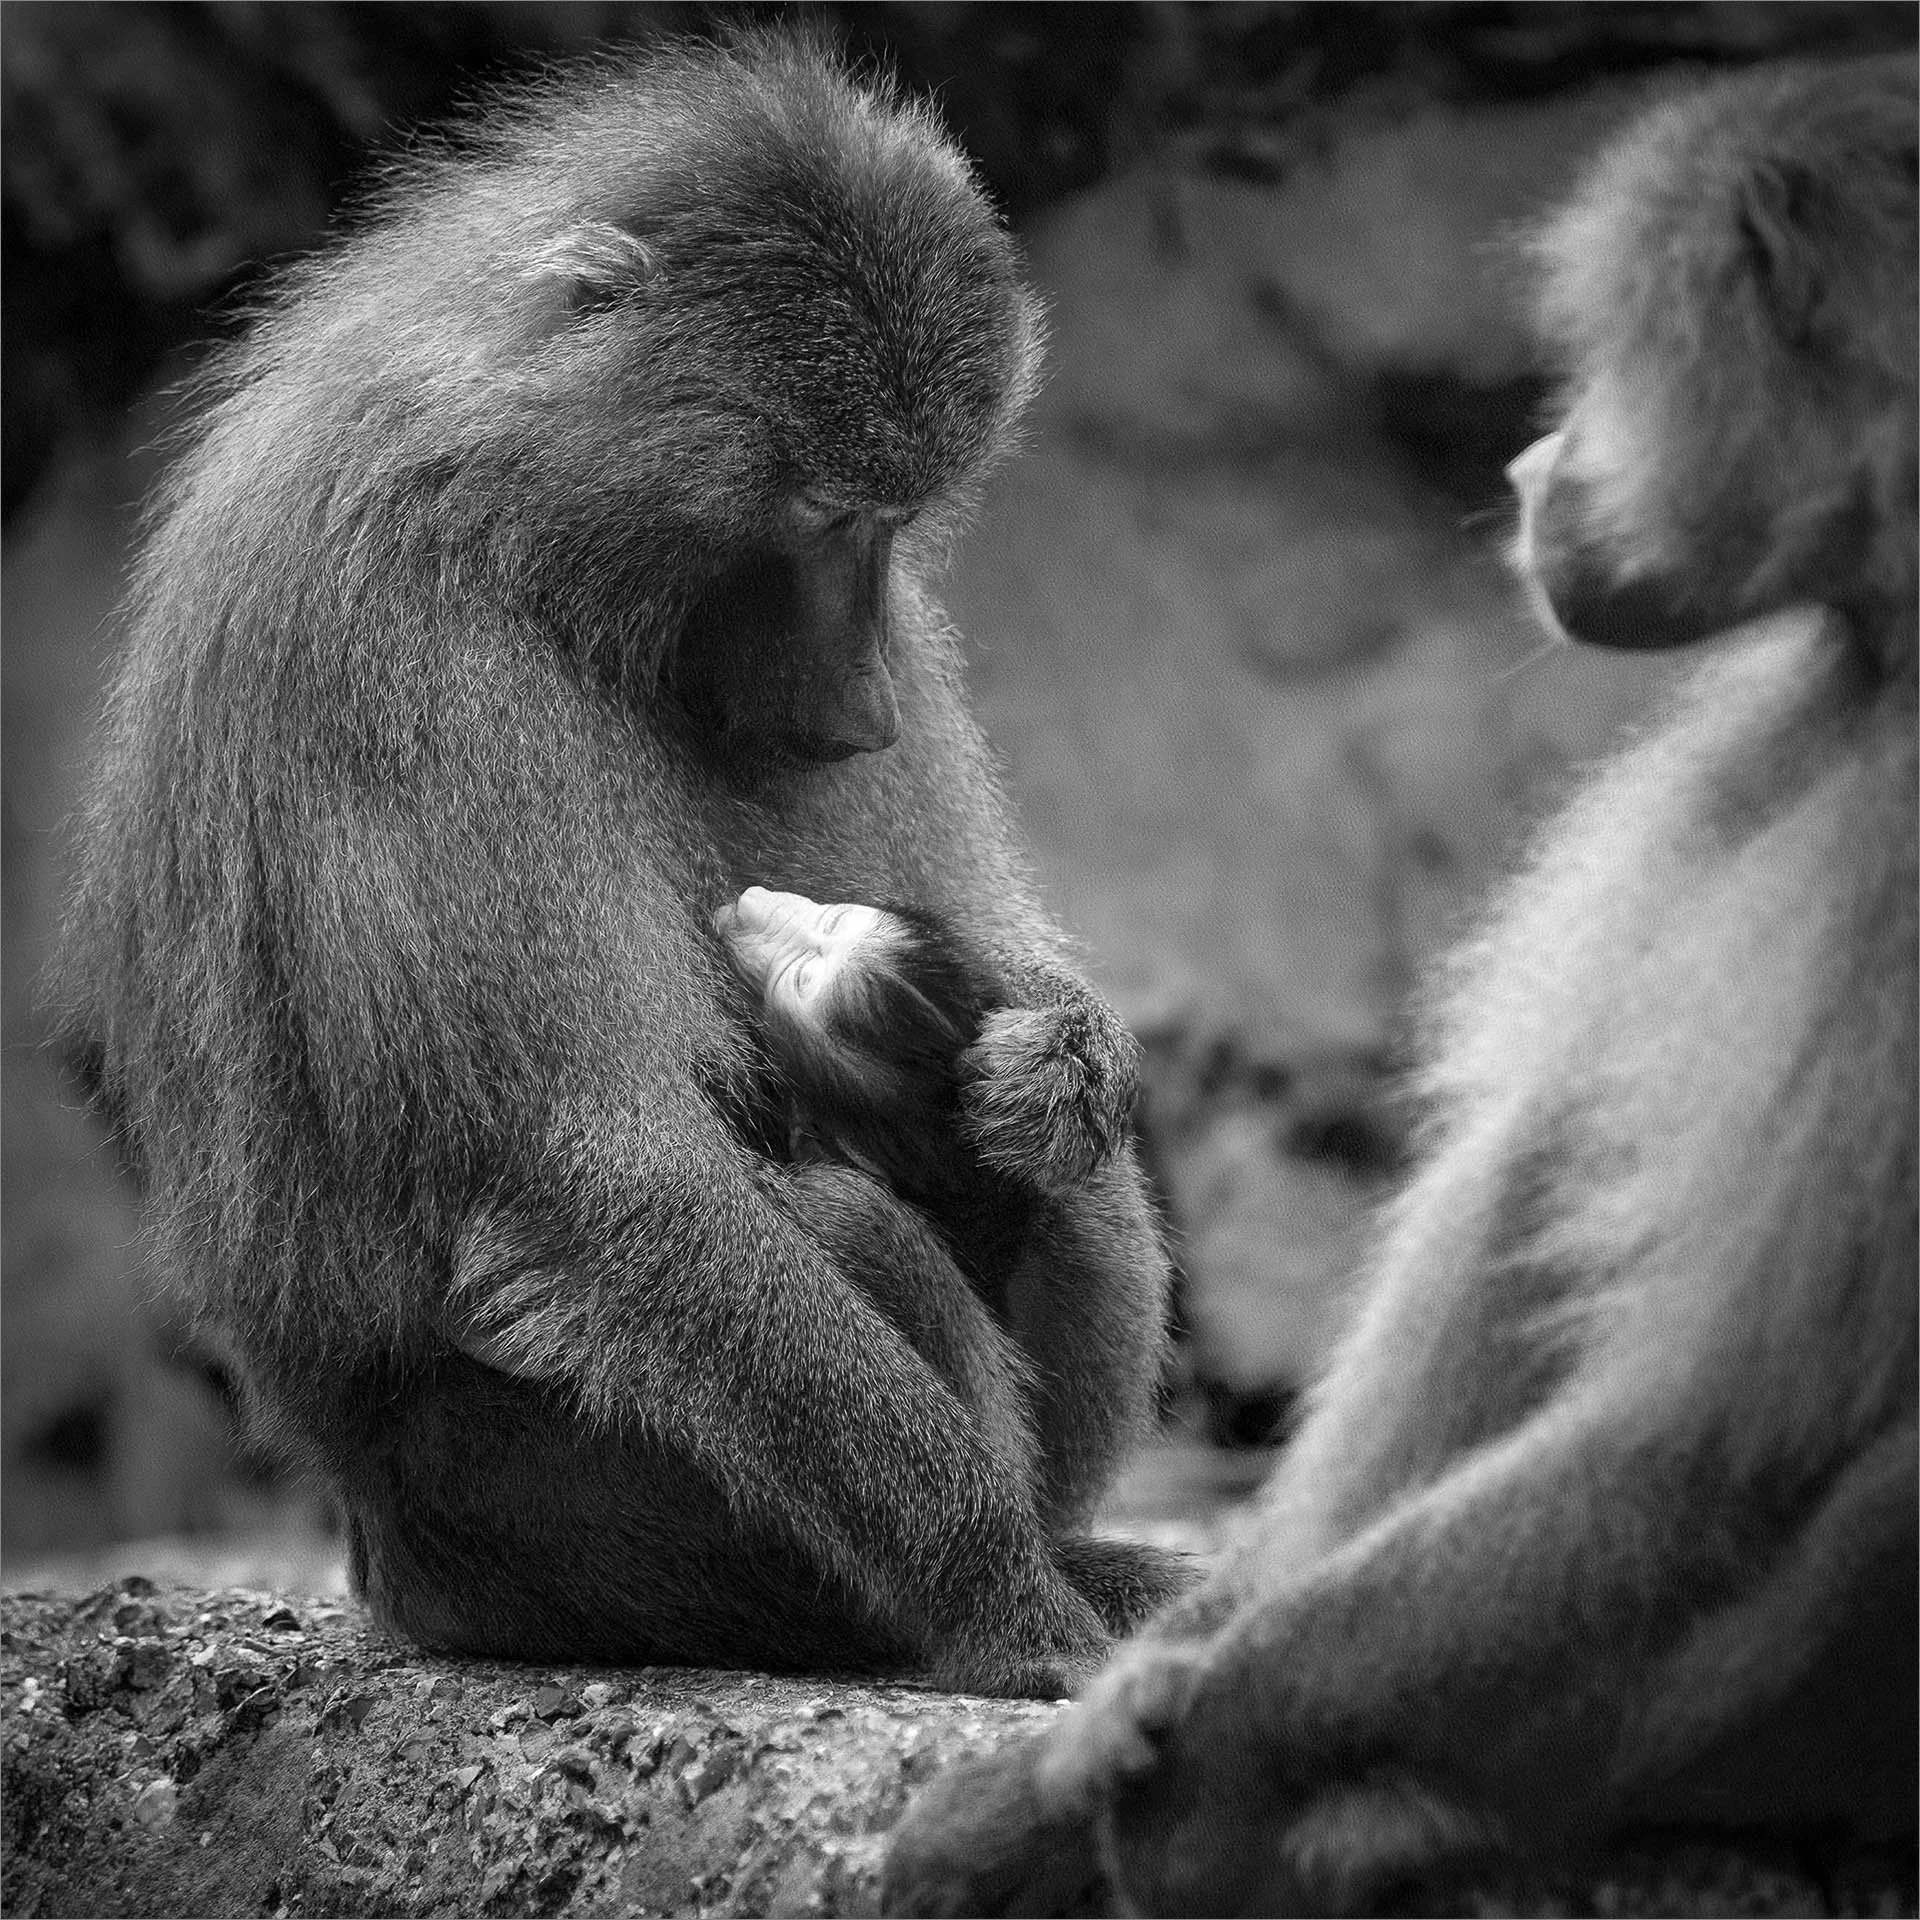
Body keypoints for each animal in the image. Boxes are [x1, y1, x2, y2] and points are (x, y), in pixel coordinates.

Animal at [50, 30, 1187, 1698]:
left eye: (899, 523)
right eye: (831, 518)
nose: (867, 706)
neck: (515, 508)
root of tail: (384, 1549)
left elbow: (995, 989)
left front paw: (1058, 1062)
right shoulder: (404, 652)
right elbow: (613, 1174)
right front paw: (997, 1600)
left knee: (1071, 1185)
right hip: (528, 1517)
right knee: (816, 1240)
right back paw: (976, 1589)